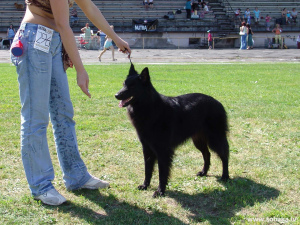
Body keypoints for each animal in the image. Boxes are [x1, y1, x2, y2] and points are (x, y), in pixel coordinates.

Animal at [115, 63, 230, 197]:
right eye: (124, 84)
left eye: (132, 86)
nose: (116, 95)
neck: (149, 107)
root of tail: (218, 102)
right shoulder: (147, 148)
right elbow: (147, 169)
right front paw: (145, 185)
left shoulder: (163, 150)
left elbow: (162, 172)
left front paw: (160, 191)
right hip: (198, 141)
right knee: (207, 154)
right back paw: (204, 172)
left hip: (215, 139)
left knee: (224, 155)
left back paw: (225, 176)